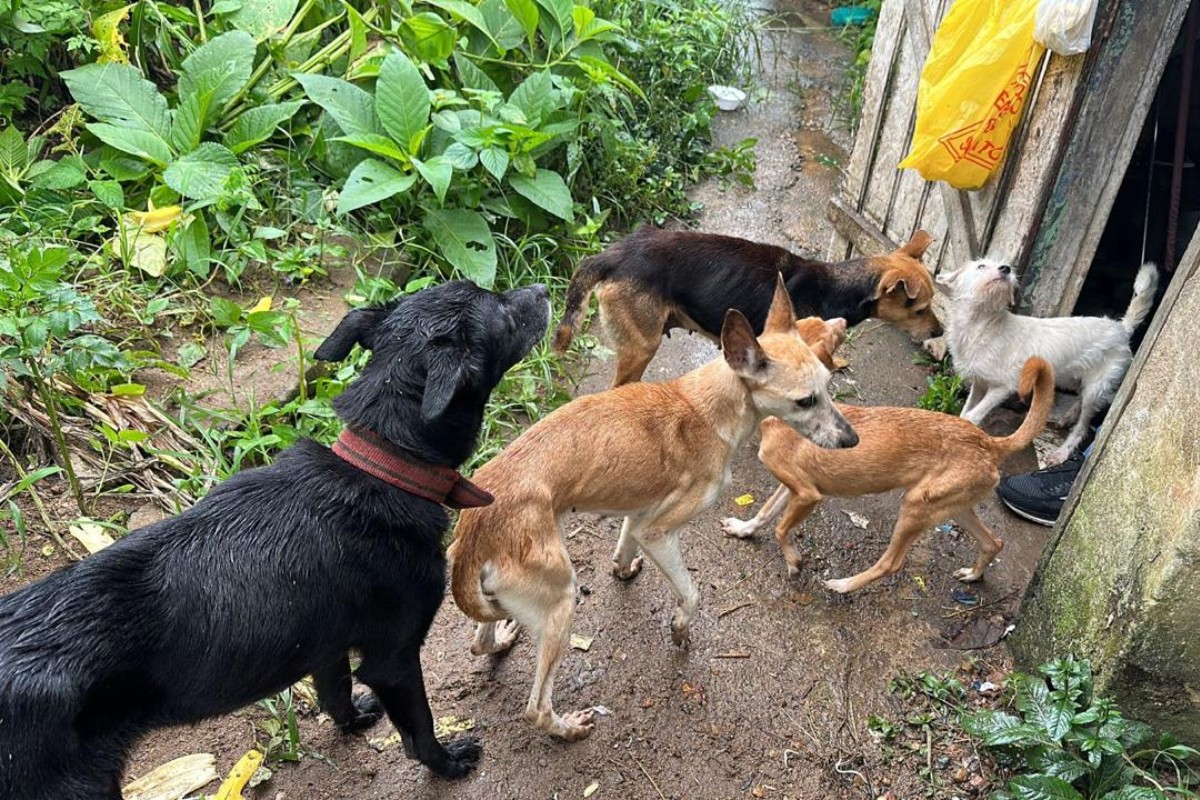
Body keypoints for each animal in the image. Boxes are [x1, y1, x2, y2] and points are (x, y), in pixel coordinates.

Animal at [0, 278, 549, 796]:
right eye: (502, 312)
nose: (545, 289)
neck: (383, 464)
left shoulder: (327, 645)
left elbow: (334, 694)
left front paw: (354, 722)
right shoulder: (392, 658)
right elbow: (419, 729)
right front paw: (448, 763)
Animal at [446, 278, 859, 743]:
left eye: (829, 383)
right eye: (806, 401)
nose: (852, 440)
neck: (710, 404)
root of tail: (474, 527)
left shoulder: (640, 514)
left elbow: (624, 546)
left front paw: (623, 571)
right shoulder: (660, 532)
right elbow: (692, 592)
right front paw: (680, 627)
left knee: (479, 643)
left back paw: (500, 640)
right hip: (561, 602)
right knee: (535, 708)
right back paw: (567, 727)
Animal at [720, 357, 1051, 594]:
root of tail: (989, 442)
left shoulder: (807, 494)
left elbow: (780, 529)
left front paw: (793, 562)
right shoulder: (791, 488)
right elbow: (764, 513)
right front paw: (744, 529)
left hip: (915, 506)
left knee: (891, 563)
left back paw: (843, 585)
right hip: (953, 506)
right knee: (994, 543)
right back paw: (973, 574)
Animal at [940, 260, 1156, 465]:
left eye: (1005, 265)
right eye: (981, 266)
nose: (1006, 268)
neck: (983, 325)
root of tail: (1121, 329)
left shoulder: (1003, 387)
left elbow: (972, 416)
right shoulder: (979, 383)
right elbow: (965, 412)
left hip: (1097, 387)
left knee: (1084, 425)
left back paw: (1062, 452)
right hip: (1073, 378)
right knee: (1080, 398)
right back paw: (1068, 417)